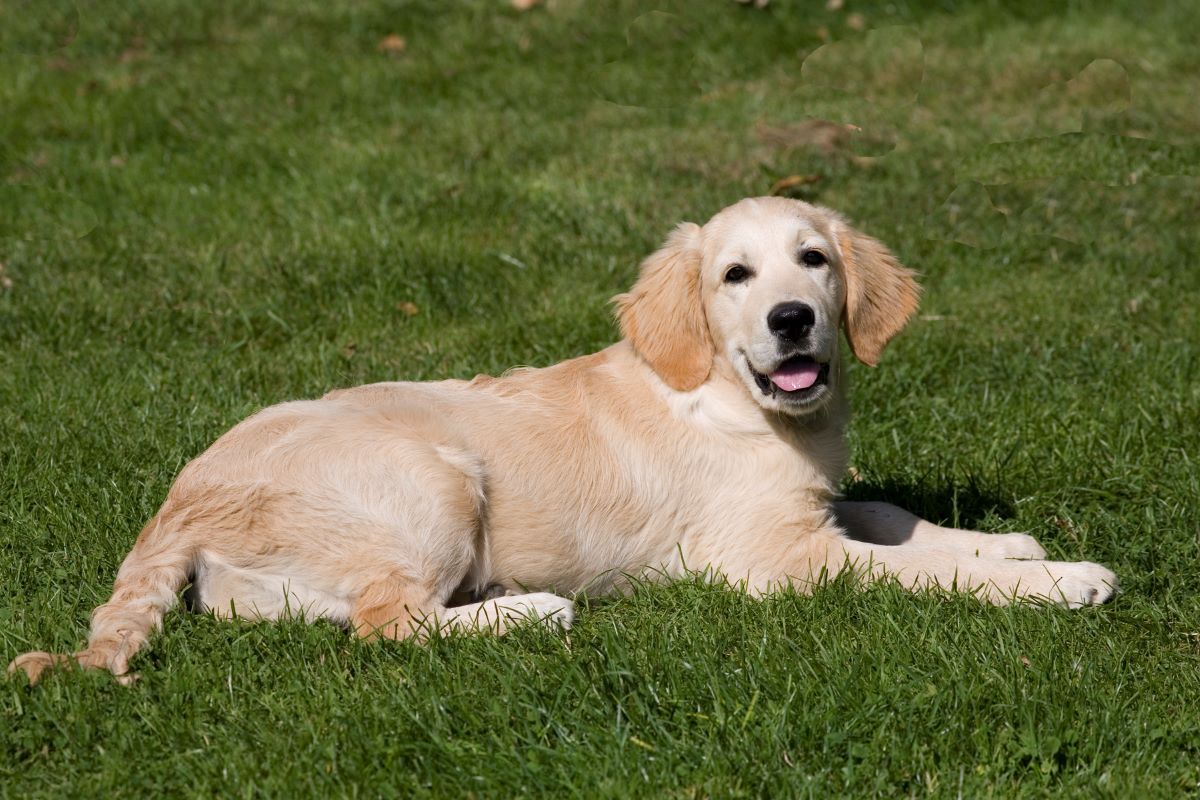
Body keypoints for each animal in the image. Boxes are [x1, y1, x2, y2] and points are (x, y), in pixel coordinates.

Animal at [7, 196, 1113, 686]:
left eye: (814, 261)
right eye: (735, 276)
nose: (795, 320)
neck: (740, 403)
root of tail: (176, 501)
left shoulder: (815, 504)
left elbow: (890, 512)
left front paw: (1005, 543)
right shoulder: (769, 559)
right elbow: (908, 569)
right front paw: (1059, 579)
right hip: (435, 476)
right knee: (385, 624)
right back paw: (532, 609)